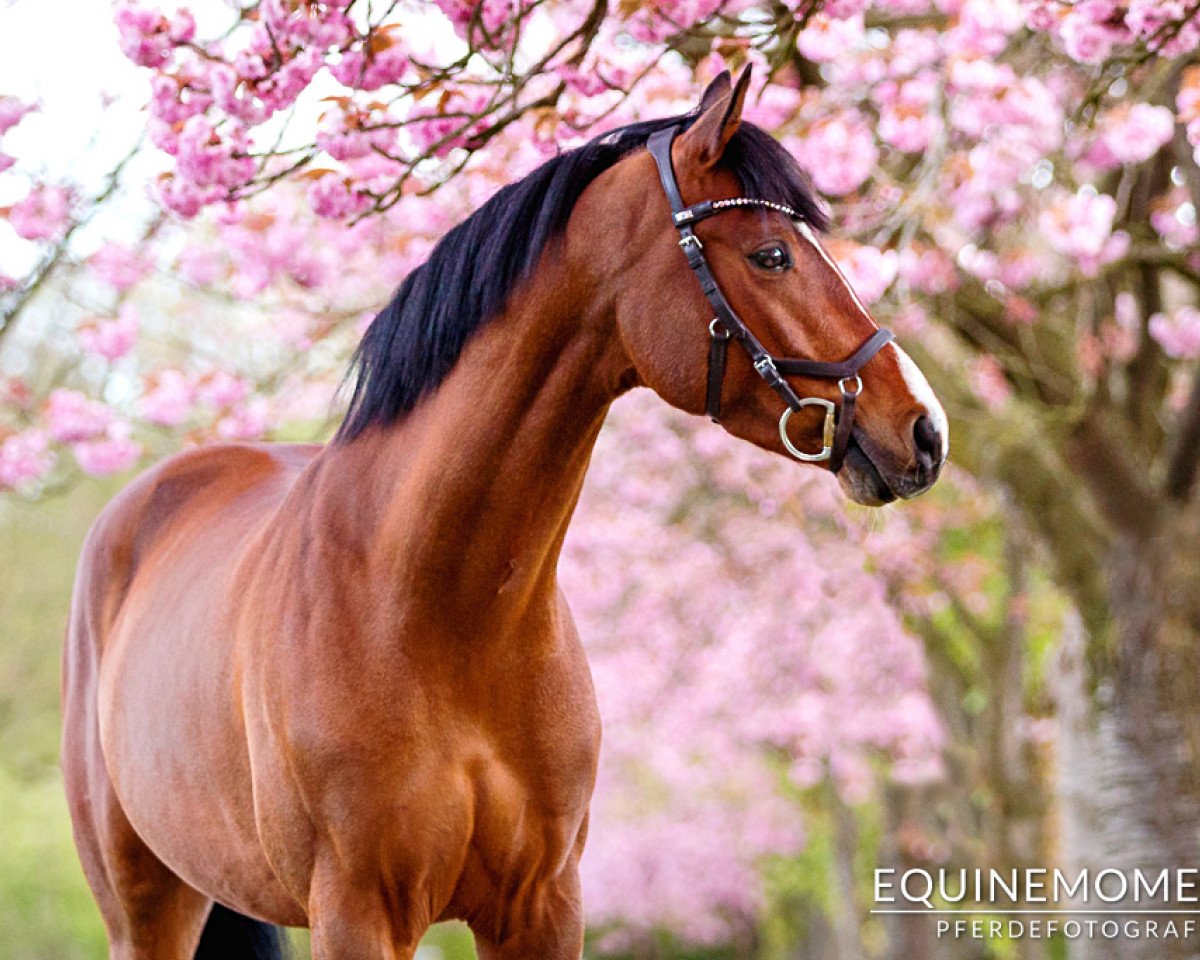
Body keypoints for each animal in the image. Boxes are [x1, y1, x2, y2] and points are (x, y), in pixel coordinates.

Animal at [62, 69, 947, 960]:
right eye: (772, 254)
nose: (924, 429)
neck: (439, 613)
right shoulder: (356, 911)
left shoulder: (544, 903)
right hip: (147, 906)